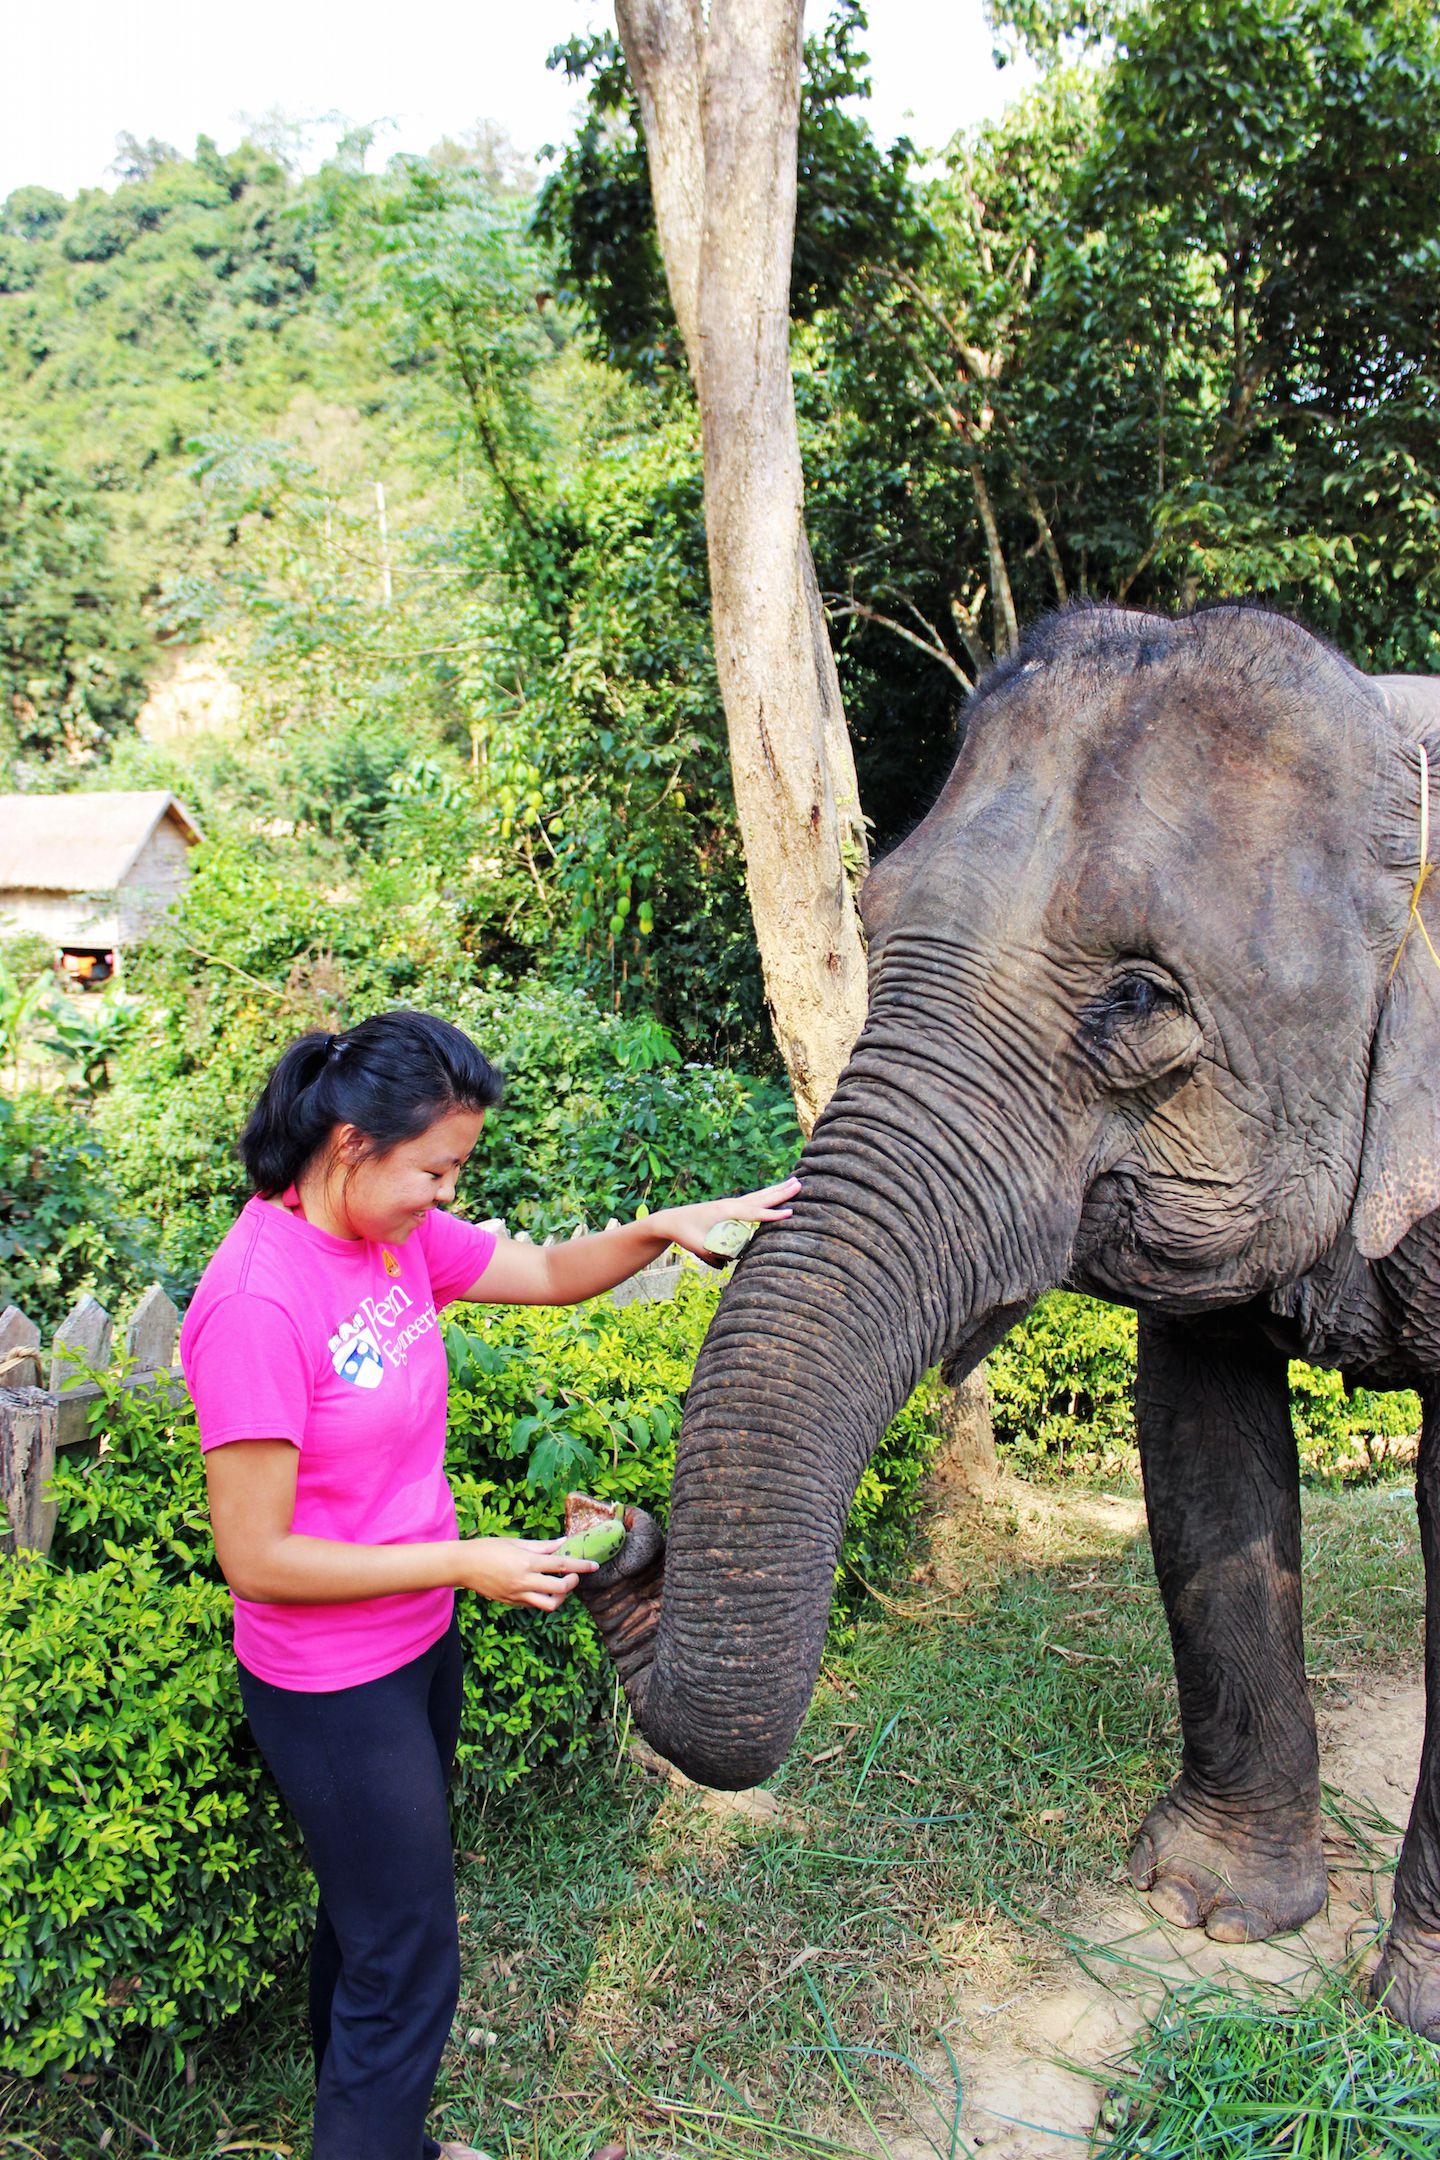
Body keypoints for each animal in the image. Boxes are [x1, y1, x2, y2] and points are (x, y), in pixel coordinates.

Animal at [581, 601, 1440, 2038]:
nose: (617, 1536)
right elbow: (1201, 1447)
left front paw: (1412, 2012)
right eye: (872, 921)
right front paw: (1205, 1912)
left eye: (1139, 995)